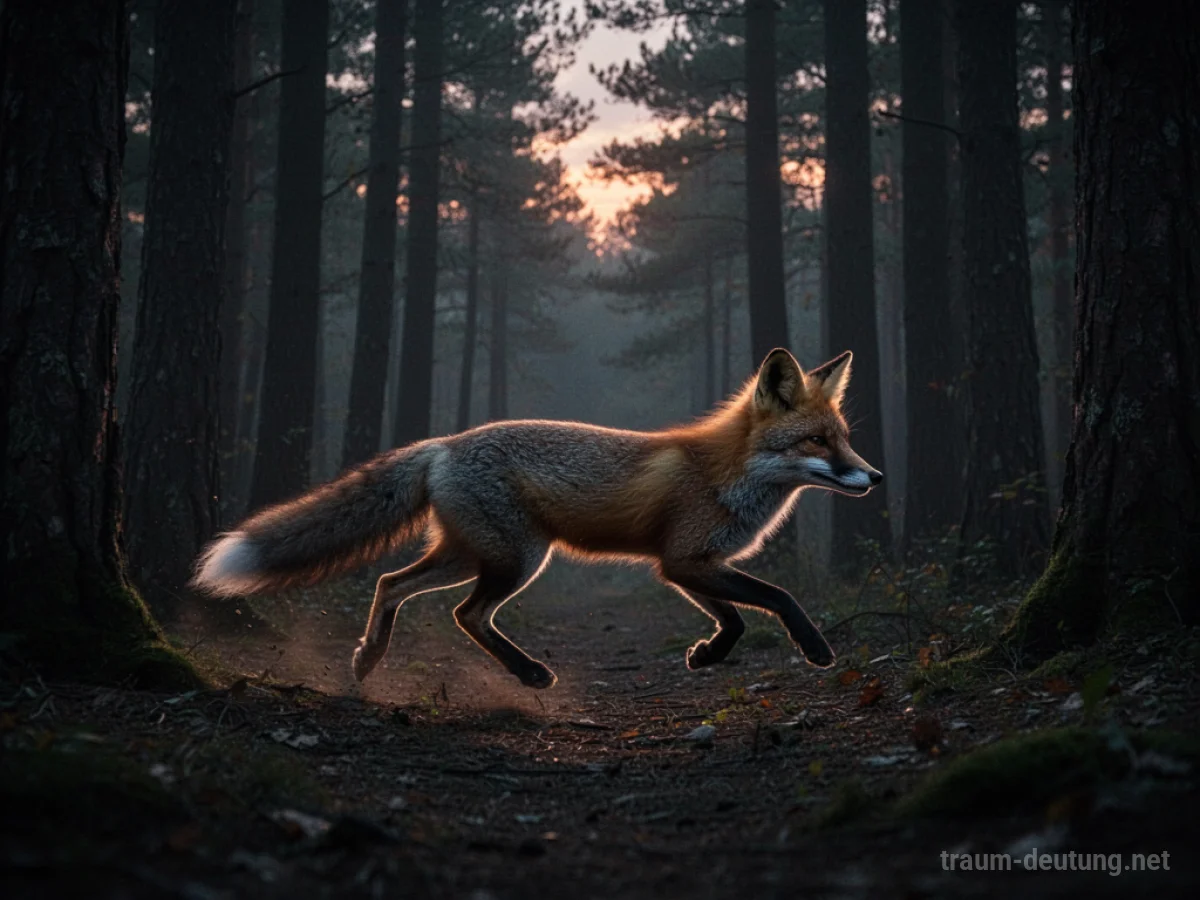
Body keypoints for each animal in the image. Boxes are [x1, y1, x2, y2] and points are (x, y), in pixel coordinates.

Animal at [192, 348, 882, 689]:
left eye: (844, 440)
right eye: (817, 441)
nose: (874, 477)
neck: (726, 475)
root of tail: (443, 443)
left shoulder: (685, 566)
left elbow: (735, 619)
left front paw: (706, 656)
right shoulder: (686, 559)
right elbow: (777, 597)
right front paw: (816, 648)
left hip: (467, 555)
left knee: (392, 585)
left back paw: (367, 659)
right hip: (517, 559)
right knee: (465, 614)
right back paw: (526, 673)